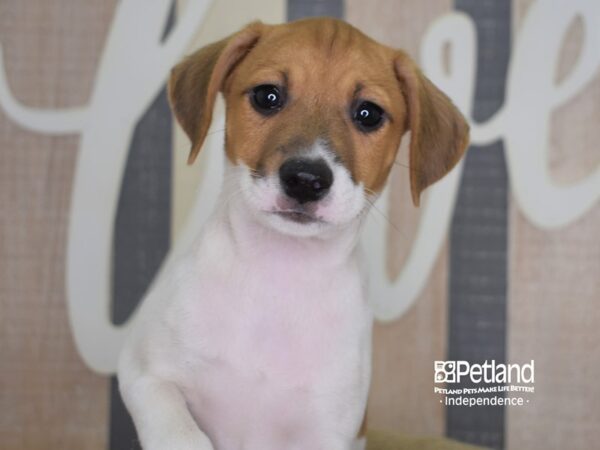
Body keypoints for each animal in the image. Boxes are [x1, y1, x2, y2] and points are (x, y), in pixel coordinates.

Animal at [118, 15, 468, 448]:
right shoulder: (143, 372)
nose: (305, 180)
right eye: (268, 96)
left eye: (368, 113)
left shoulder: (327, 429)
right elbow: (179, 430)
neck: (280, 272)